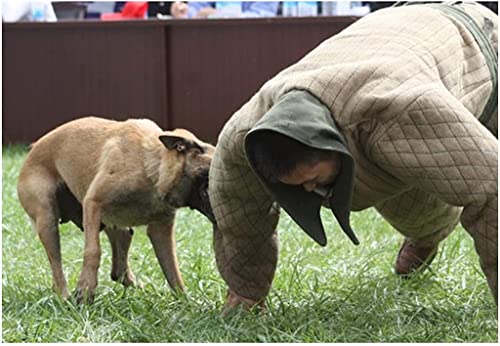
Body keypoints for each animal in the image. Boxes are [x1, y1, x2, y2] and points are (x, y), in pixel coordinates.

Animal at [17, 116, 215, 302]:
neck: (150, 166)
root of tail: (33, 149)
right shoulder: (93, 203)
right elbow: (93, 251)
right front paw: (85, 290)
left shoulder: (161, 230)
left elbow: (173, 271)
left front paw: (187, 302)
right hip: (48, 220)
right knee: (57, 265)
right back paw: (65, 297)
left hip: (119, 227)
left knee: (118, 270)